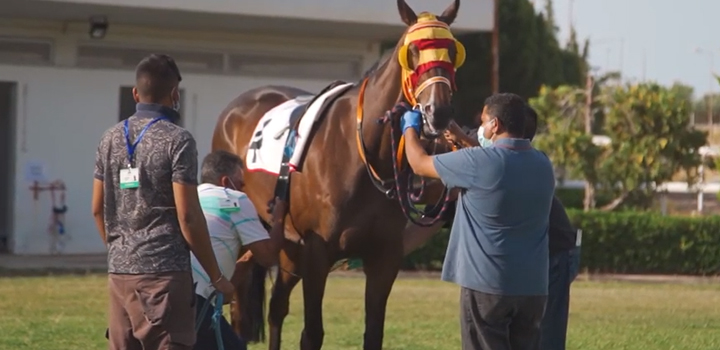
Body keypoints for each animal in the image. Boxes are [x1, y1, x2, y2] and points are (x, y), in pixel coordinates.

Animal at [211, 1, 464, 348]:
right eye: (412, 51)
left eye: (452, 51)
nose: (437, 112)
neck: (362, 152)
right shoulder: (317, 253)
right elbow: (312, 333)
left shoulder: (384, 257)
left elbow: (373, 333)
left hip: (287, 247)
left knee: (276, 307)